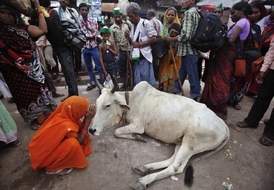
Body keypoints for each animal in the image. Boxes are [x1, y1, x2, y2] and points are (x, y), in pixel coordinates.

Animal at [90, 80, 229, 190]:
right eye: (97, 104)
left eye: (107, 105)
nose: (91, 130)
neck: (133, 100)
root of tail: (224, 126)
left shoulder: (138, 126)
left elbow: (117, 132)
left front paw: (138, 137)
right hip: (181, 141)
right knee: (172, 160)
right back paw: (145, 168)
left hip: (190, 143)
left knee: (176, 168)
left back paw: (144, 180)